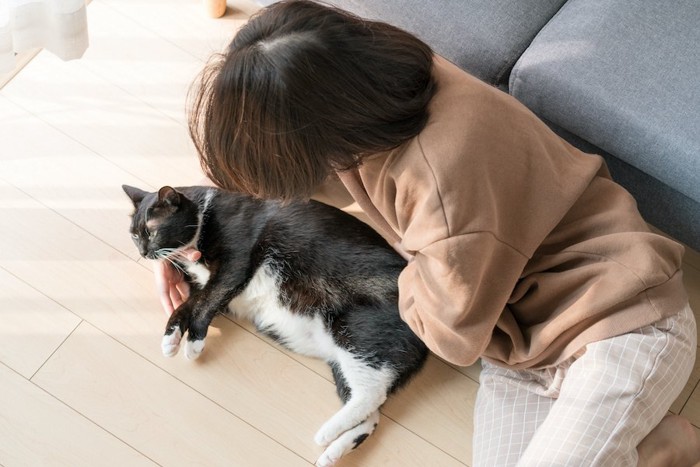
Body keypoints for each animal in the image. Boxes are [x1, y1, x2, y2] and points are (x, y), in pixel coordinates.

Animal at [121, 185, 426, 466]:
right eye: (134, 234)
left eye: (152, 231)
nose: (144, 252)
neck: (201, 219)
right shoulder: (206, 285)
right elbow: (190, 303)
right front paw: (171, 337)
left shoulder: (234, 264)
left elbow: (209, 299)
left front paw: (194, 343)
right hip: (342, 361)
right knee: (371, 414)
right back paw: (332, 453)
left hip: (357, 331)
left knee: (372, 394)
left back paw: (325, 434)